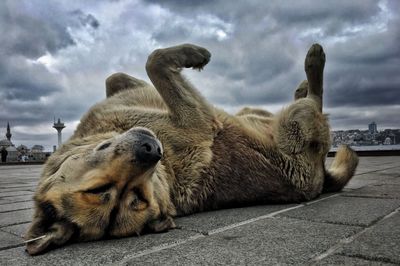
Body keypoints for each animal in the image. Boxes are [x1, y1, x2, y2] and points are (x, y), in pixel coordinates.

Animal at [25, 42, 358, 255]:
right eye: (137, 200)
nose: (151, 149)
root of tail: (322, 179)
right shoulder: (198, 121)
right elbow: (154, 60)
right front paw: (196, 54)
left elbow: (120, 76)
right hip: (297, 123)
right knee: (315, 102)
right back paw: (313, 62)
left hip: (256, 111)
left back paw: (301, 84)